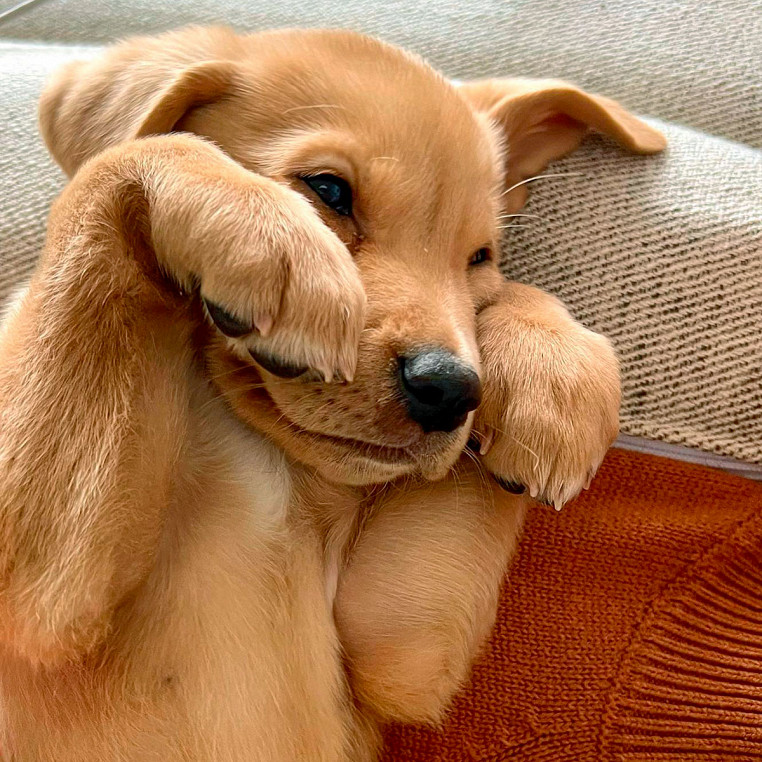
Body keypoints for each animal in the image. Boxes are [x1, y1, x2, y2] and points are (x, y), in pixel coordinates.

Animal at [0, 26, 665, 761]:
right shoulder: (45, 588)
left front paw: (553, 375)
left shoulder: (398, 644)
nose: (448, 390)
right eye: (328, 190)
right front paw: (267, 229)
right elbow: (125, 158)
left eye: (479, 257)